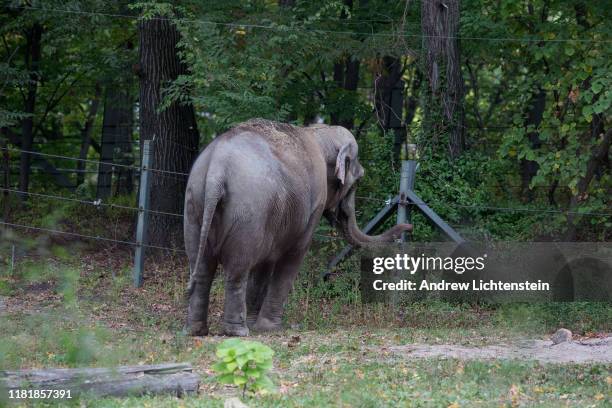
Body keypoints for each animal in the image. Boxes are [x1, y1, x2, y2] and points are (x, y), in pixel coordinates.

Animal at [182, 119, 412, 336]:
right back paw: (237, 331)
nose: (408, 227)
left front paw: (256, 324)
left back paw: (196, 330)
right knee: (237, 270)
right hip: (247, 212)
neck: (320, 133)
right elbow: (294, 254)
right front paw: (270, 327)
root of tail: (216, 171)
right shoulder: (314, 203)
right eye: (358, 181)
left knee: (201, 268)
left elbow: (265, 263)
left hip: (194, 205)